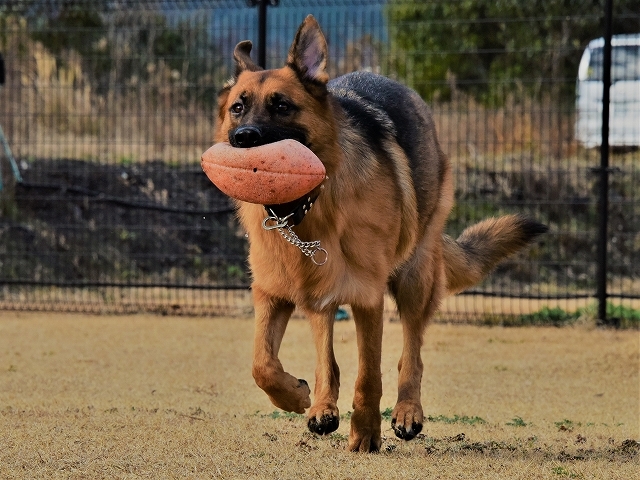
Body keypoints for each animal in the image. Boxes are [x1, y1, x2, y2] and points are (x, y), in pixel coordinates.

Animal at [215, 15, 544, 450]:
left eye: (282, 106)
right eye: (238, 108)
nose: (243, 139)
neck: (306, 211)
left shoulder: (366, 297)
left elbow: (369, 374)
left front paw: (366, 434)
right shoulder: (272, 293)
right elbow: (262, 364)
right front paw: (296, 396)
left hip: (414, 278)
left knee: (411, 354)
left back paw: (407, 412)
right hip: (320, 291)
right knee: (327, 357)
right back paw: (322, 405)